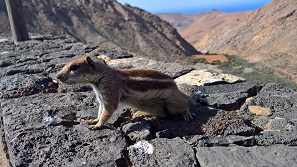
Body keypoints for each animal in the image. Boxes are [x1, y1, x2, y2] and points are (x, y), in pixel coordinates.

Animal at [56, 55, 194, 129]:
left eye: (74, 67)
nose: (57, 76)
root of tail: (175, 86)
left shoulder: (110, 92)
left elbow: (107, 112)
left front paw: (98, 125)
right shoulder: (101, 98)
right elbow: (100, 111)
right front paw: (94, 120)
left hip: (173, 102)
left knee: (183, 104)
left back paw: (187, 113)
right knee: (162, 114)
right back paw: (142, 113)